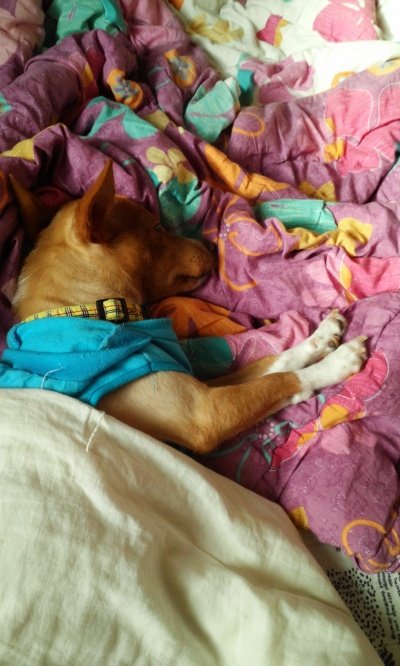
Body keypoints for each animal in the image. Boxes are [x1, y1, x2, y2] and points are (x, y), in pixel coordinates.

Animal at [5, 160, 367, 454]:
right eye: (156, 227)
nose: (212, 244)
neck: (94, 312)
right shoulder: (206, 413)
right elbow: (282, 381)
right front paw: (336, 363)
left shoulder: (202, 388)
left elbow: (274, 363)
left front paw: (321, 339)